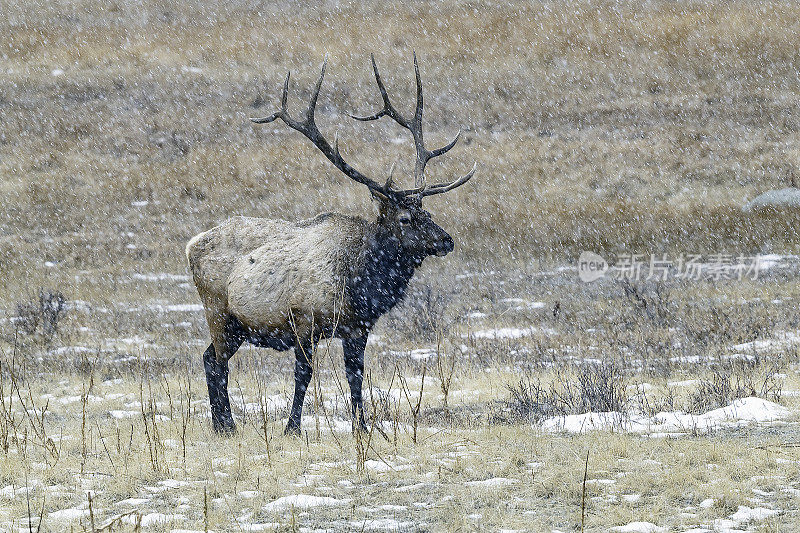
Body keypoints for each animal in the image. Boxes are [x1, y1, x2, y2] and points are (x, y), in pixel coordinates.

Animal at [188, 56, 476, 434]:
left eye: (427, 212)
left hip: (237, 326)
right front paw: (292, 428)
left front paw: (362, 427)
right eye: (404, 218)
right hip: (218, 311)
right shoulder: (303, 320)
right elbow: (304, 374)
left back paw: (222, 424)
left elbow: (356, 376)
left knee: (208, 358)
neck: (359, 282)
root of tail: (191, 244)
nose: (447, 240)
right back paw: (227, 425)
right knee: (218, 363)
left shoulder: (357, 328)